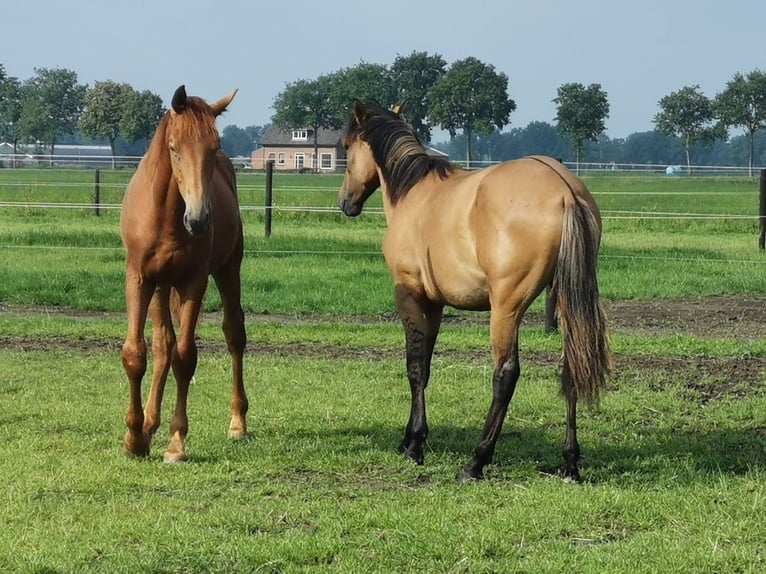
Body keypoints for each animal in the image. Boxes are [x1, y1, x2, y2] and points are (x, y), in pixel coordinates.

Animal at [121, 85, 249, 464]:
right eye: (174, 147)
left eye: (214, 147)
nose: (198, 219)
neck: (165, 217)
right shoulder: (139, 279)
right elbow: (136, 354)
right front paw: (134, 437)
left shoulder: (194, 282)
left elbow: (186, 356)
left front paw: (176, 443)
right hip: (161, 287)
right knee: (162, 345)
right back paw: (149, 423)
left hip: (228, 270)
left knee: (234, 334)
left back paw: (238, 422)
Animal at [340, 101, 616, 484]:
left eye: (346, 146)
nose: (345, 202)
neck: (415, 192)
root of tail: (565, 191)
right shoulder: (435, 304)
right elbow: (426, 366)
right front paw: (413, 438)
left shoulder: (410, 294)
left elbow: (414, 367)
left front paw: (414, 445)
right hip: (565, 301)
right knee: (573, 364)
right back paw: (570, 464)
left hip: (506, 308)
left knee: (506, 374)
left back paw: (476, 462)